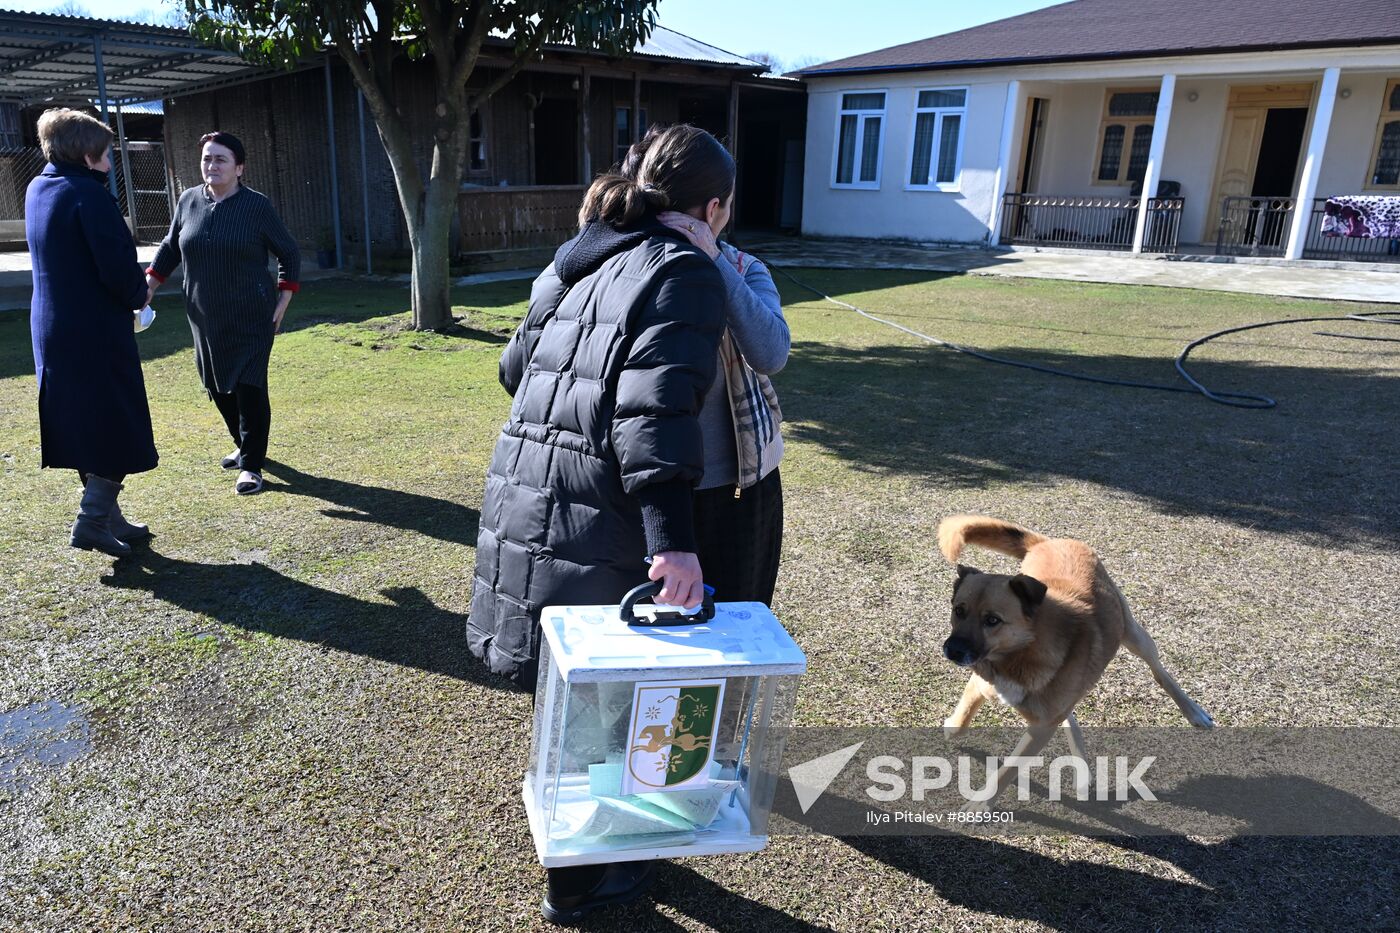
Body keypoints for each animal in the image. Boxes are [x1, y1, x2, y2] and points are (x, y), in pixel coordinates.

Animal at [935, 512, 1209, 795]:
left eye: (992, 620)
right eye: (959, 611)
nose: (952, 650)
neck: (1021, 654)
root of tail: (1050, 542)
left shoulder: (1039, 729)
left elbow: (1004, 774)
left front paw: (977, 803)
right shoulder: (982, 682)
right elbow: (960, 721)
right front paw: (951, 728)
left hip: (1134, 636)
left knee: (1159, 672)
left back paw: (1194, 711)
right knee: (1070, 713)